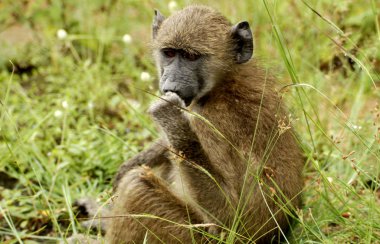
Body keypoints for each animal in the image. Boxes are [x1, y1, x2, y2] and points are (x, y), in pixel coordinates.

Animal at [70, 4, 304, 244]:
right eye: (169, 53)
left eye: (192, 56)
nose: (171, 83)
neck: (223, 83)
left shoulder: (212, 122)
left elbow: (228, 215)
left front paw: (169, 116)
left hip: (192, 236)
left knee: (138, 184)